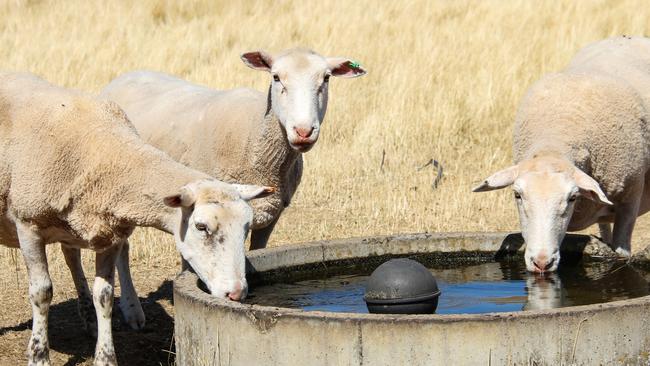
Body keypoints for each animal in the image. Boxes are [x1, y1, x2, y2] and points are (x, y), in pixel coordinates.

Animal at [0, 72, 268, 366]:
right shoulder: (28, 225)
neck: (105, 152)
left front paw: (105, 357)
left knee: (72, 257)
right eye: (201, 227)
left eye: (246, 228)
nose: (236, 293)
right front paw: (39, 355)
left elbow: (104, 296)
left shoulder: (108, 233)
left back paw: (88, 319)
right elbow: (42, 292)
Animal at [470, 35, 648, 274]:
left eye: (572, 197)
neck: (554, 142)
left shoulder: (630, 201)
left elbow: (622, 251)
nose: (541, 262)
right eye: (517, 195)